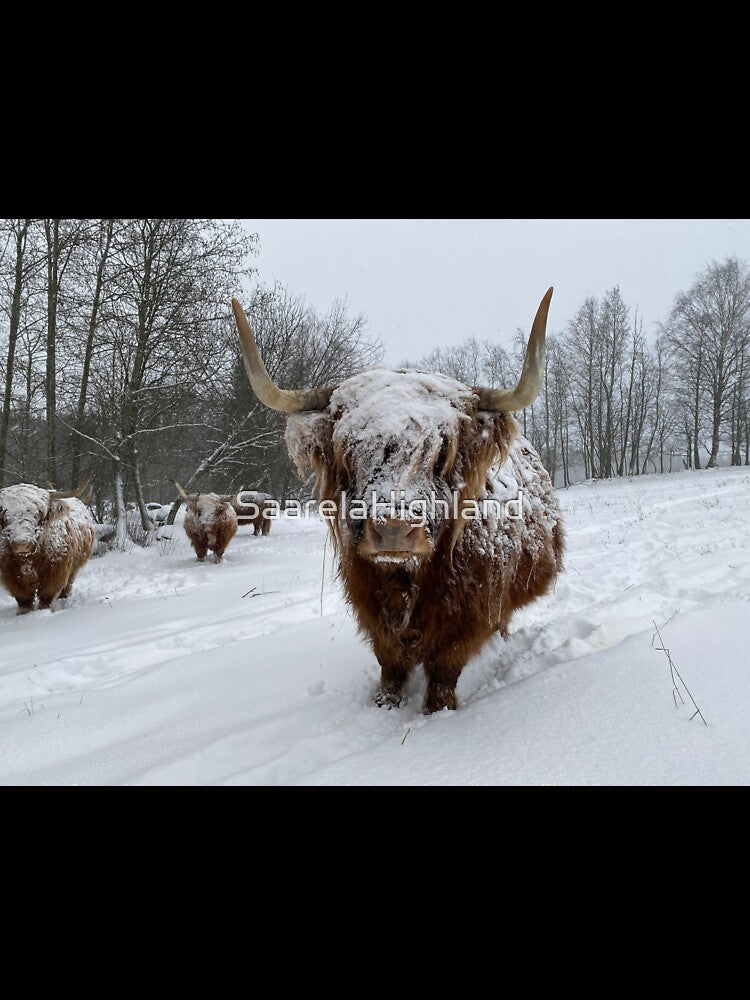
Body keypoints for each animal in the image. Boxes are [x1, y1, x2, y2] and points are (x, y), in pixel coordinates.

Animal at [0, 480, 95, 614]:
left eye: (38, 514)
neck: (28, 560)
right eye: (4, 515)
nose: (22, 544)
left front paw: (44, 610)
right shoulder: (9, 574)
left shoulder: (56, 571)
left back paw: (64, 596)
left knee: (68, 583)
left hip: (75, 566)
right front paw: (23, 613)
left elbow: (47, 594)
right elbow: (23, 598)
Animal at [231, 289, 564, 714]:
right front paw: (384, 704)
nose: (394, 529)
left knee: (502, 621)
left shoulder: (469, 614)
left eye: (442, 452)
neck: (408, 580)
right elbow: (390, 663)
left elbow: (445, 669)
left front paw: (438, 712)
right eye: (348, 451)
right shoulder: (371, 607)